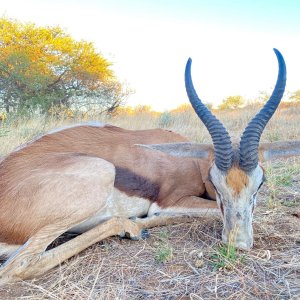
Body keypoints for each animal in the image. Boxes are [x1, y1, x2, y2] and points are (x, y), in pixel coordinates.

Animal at [0, 48, 300, 284]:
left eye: (260, 184)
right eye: (216, 184)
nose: (237, 243)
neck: (192, 162)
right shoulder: (170, 202)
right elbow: (206, 212)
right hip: (101, 174)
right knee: (17, 267)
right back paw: (132, 227)